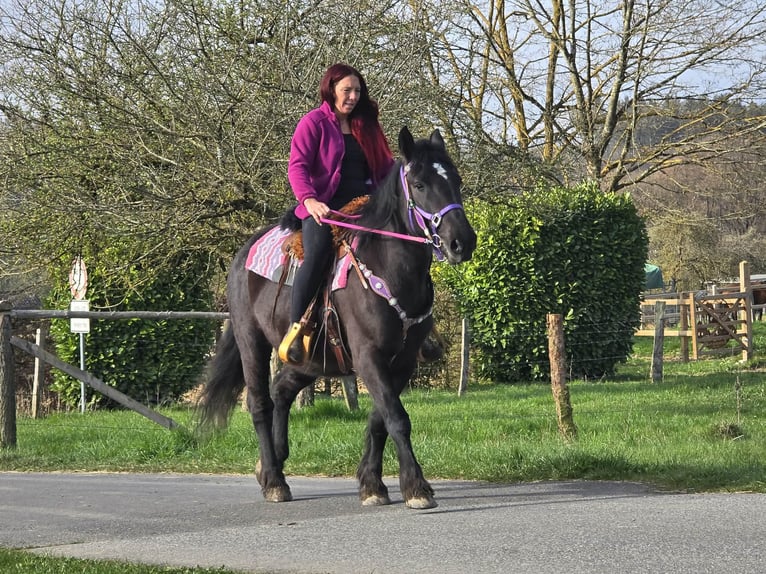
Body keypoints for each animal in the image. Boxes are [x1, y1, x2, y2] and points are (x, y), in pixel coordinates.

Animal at [198, 126, 477, 509]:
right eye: (419, 184)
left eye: (457, 180)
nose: (462, 242)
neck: (388, 269)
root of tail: (243, 254)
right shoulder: (368, 356)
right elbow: (397, 418)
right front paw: (416, 487)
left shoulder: (401, 362)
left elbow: (380, 419)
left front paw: (372, 484)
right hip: (250, 340)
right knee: (260, 402)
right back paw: (274, 480)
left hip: (312, 358)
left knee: (282, 390)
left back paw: (272, 464)